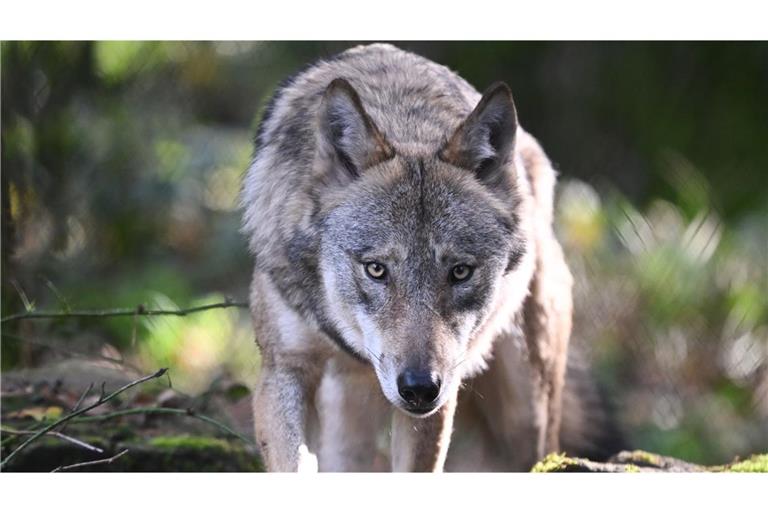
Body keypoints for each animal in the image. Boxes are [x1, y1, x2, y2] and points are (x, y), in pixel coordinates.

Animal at [241, 43, 619, 471]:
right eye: (376, 269)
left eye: (460, 272)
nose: (419, 388)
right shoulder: (284, 369)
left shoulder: (439, 397)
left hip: (526, 411)